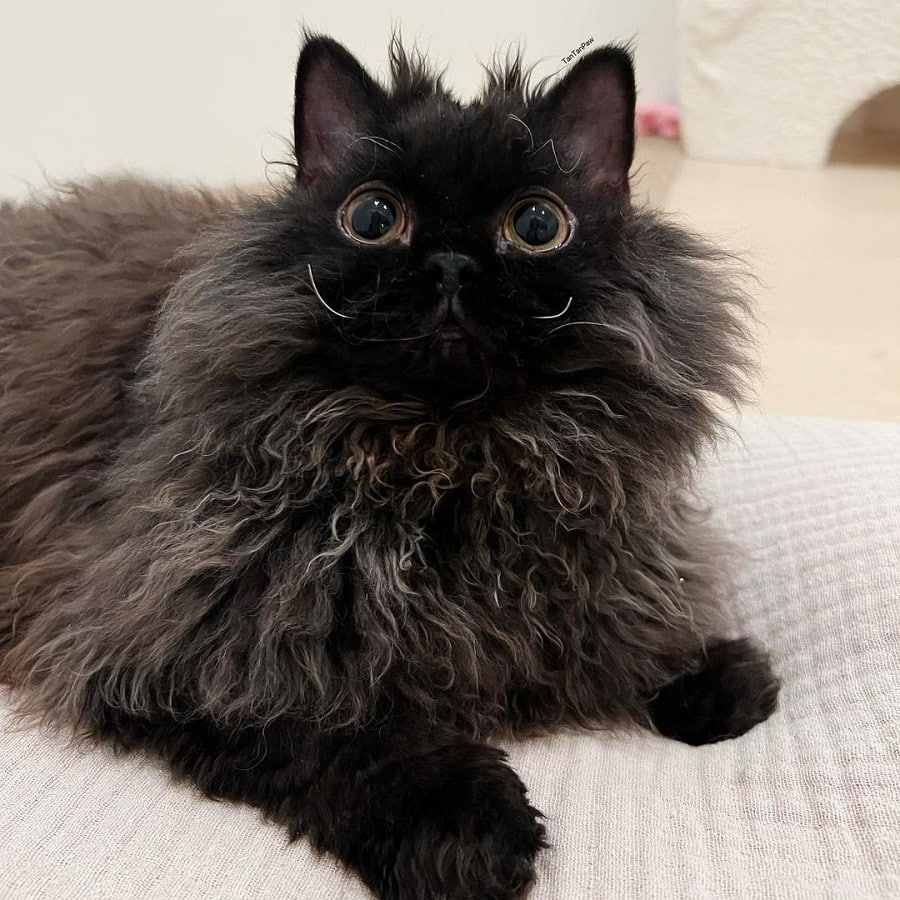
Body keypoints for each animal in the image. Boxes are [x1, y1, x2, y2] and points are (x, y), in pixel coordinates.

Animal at [0, 31, 780, 900]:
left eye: (537, 223)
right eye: (374, 218)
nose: (451, 264)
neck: (452, 466)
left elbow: (627, 625)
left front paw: (708, 673)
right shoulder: (171, 642)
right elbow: (340, 732)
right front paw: (466, 826)